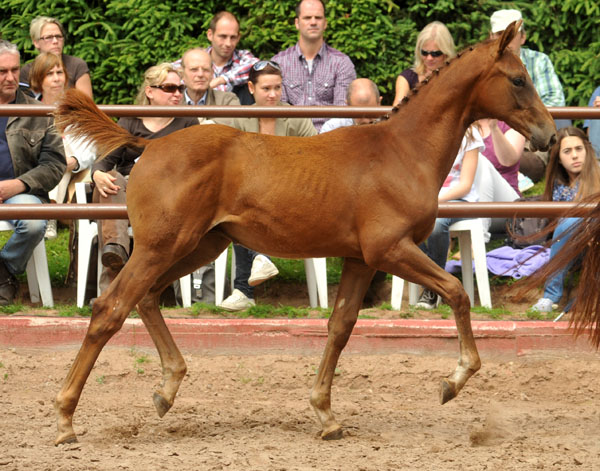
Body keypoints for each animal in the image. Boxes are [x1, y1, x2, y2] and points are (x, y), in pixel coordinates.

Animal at [51, 23, 552, 446]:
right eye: (517, 79)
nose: (547, 135)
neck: (401, 151)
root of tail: (148, 146)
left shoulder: (359, 259)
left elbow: (341, 326)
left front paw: (326, 416)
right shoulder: (390, 249)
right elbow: (457, 292)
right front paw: (454, 380)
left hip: (201, 244)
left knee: (148, 297)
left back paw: (166, 389)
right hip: (161, 245)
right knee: (110, 308)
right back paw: (65, 419)